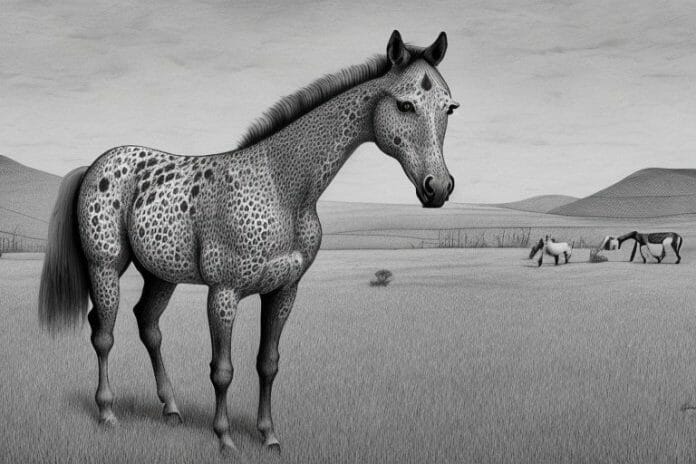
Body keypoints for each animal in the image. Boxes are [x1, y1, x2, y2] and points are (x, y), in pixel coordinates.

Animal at [37, 30, 458, 454]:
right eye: (405, 105)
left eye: (449, 108)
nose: (438, 188)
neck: (281, 187)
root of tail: (94, 166)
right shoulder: (224, 293)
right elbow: (222, 370)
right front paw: (225, 438)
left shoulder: (283, 291)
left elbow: (268, 363)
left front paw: (268, 435)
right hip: (105, 268)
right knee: (103, 332)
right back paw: (108, 413)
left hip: (161, 274)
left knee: (148, 324)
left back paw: (171, 408)